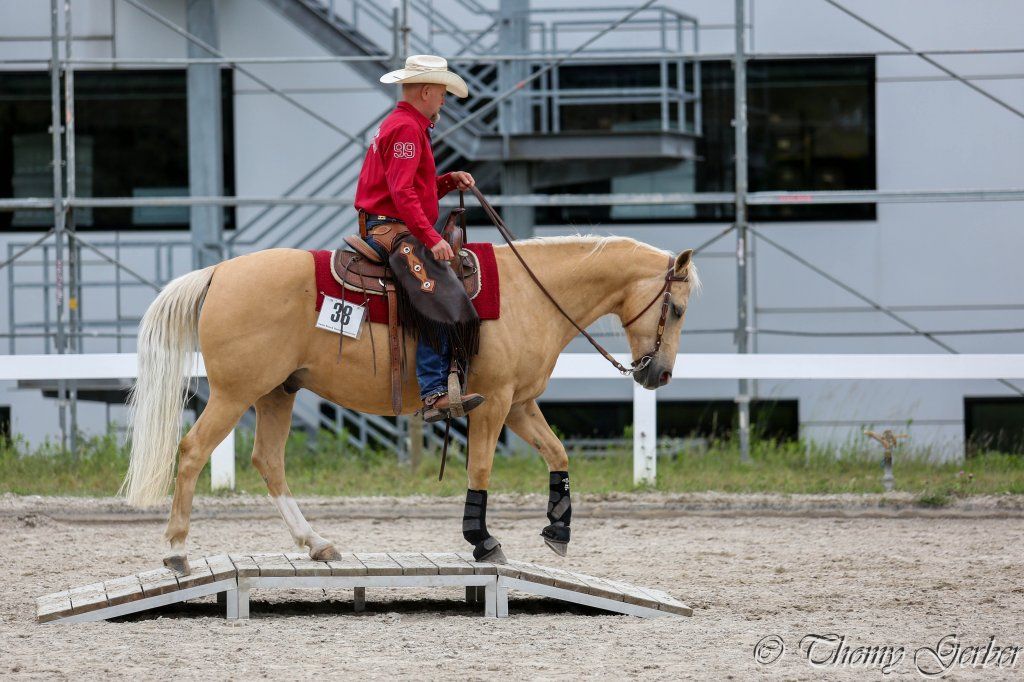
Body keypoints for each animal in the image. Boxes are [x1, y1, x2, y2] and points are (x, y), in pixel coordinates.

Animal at [120, 235, 698, 574]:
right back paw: (176, 550)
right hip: (235, 394)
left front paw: (558, 529)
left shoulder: (519, 405)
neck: (530, 294)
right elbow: (481, 469)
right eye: (676, 307)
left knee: (269, 461)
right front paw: (482, 540)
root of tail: (219, 273)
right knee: (193, 452)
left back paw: (317, 543)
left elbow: (558, 454)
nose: (659, 374)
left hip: (276, 393)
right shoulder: (492, 405)